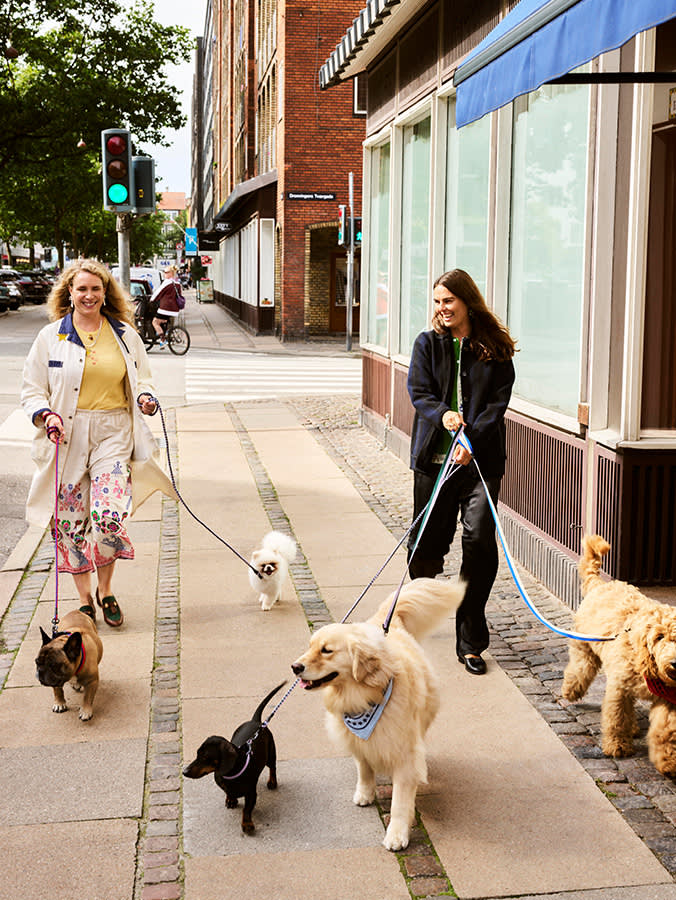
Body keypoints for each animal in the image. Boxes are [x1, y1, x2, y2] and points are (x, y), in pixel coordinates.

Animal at [564, 536, 676, 772]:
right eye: (659, 637)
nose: (674, 663)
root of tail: (600, 584)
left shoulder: (668, 699)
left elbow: (665, 731)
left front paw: (667, 760)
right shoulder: (619, 687)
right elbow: (616, 718)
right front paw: (618, 746)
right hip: (585, 650)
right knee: (579, 670)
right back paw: (570, 690)